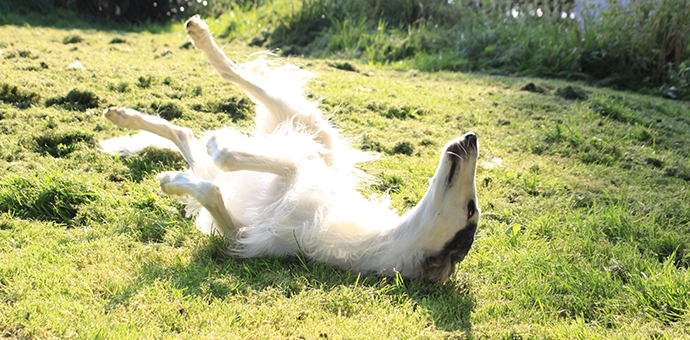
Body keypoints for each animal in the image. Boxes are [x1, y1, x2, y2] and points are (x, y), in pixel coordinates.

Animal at [101, 15, 478, 282]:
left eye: (471, 209)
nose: (472, 137)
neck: (369, 238)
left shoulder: (242, 232)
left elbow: (217, 177)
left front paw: (177, 179)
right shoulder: (299, 165)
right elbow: (234, 160)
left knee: (187, 133)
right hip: (296, 117)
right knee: (230, 75)